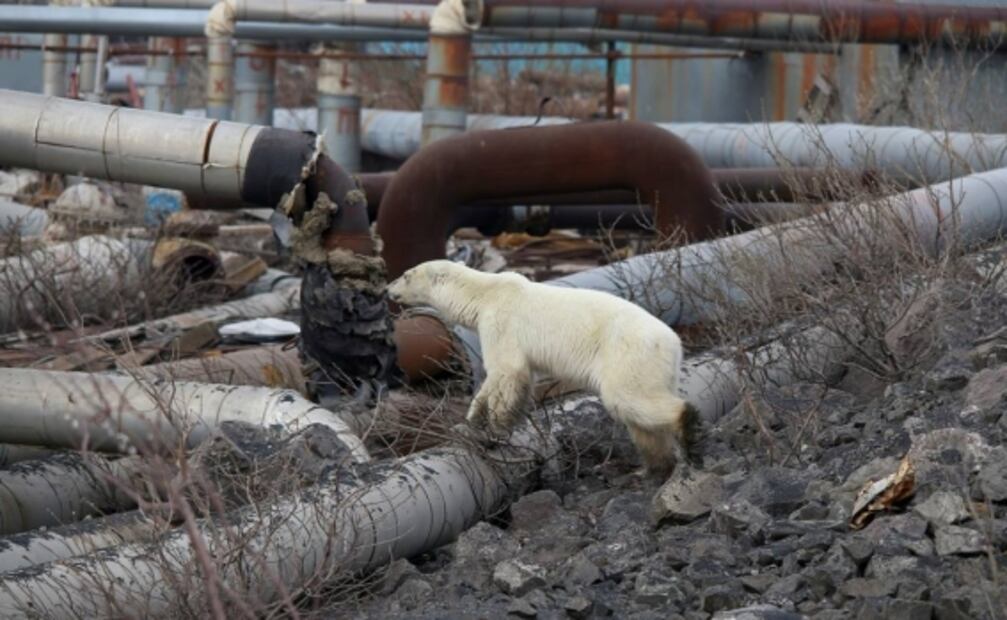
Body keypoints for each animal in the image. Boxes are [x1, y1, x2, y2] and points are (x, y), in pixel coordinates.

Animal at [387, 260, 702, 478]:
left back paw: (686, 428)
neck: (485, 293)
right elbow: (496, 380)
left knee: (629, 399)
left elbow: (507, 370)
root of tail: (674, 343)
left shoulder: (501, 322)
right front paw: (469, 422)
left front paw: (496, 429)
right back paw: (652, 467)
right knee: (641, 421)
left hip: (628, 355)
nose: (388, 289)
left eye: (406, 274)